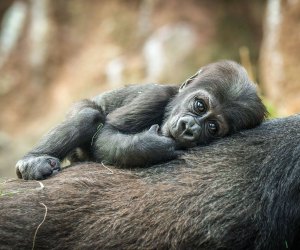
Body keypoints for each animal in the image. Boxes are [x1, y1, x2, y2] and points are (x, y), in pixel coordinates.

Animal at [15, 60, 268, 180]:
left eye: (213, 127)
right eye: (200, 106)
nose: (189, 128)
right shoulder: (155, 96)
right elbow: (107, 132)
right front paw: (151, 146)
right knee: (89, 116)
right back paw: (32, 161)